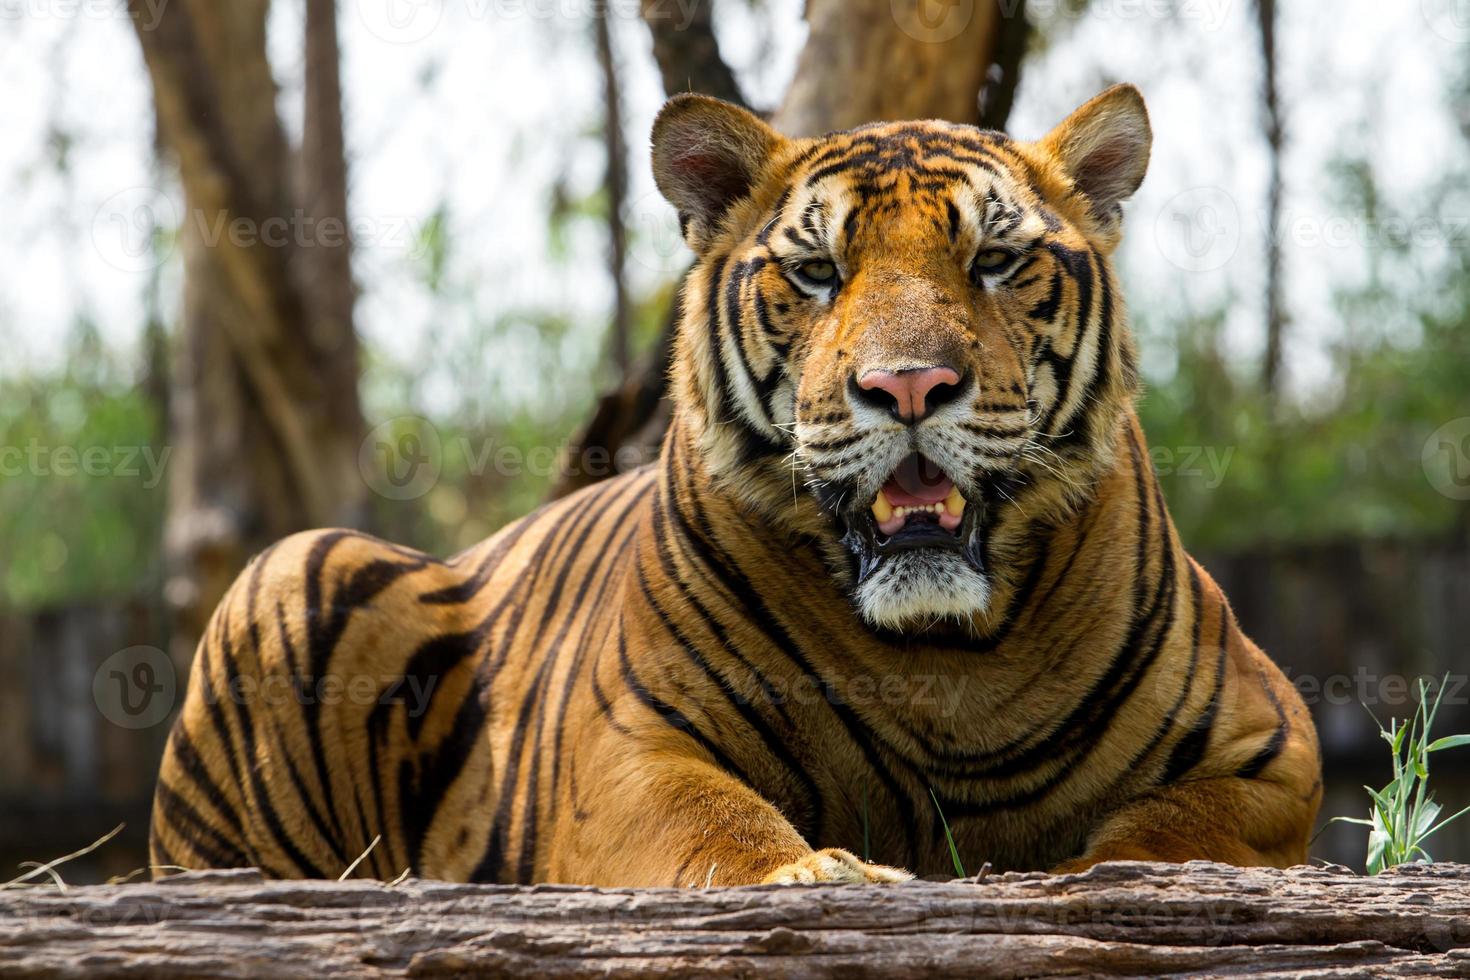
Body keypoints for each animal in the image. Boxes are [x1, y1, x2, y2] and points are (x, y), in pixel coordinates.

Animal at [146, 84, 1323, 887]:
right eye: (817, 271)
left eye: (993, 260)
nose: (908, 384)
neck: (946, 661)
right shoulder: (629, 738)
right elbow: (711, 823)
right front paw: (818, 870)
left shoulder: (1274, 746)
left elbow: (1168, 829)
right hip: (293, 566)